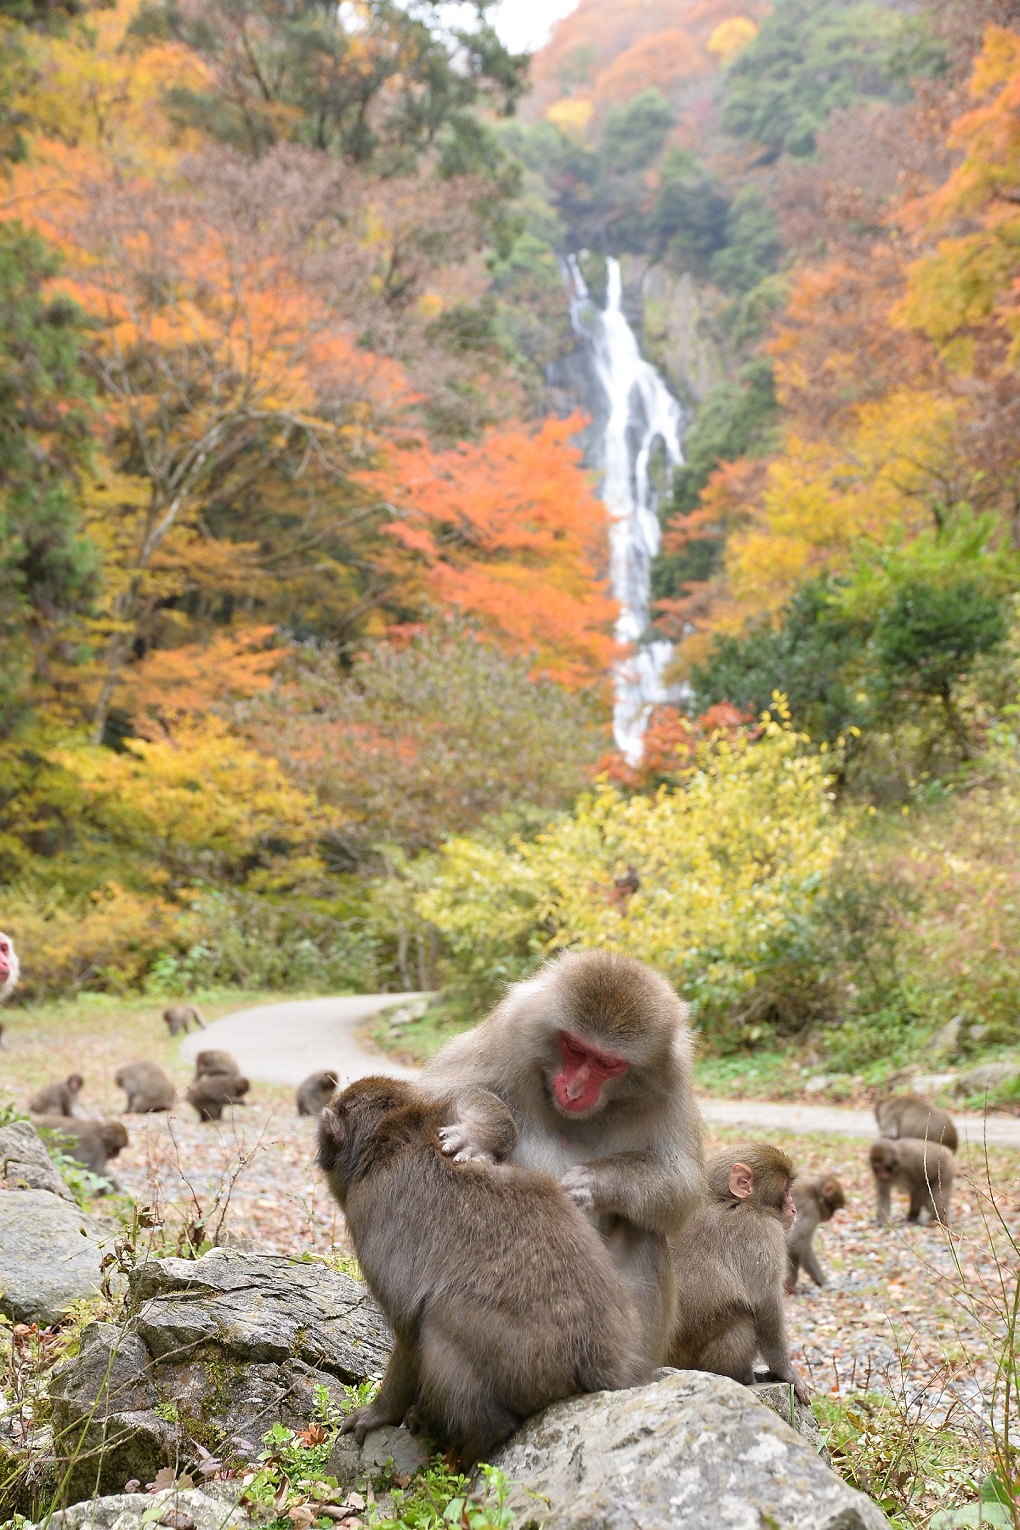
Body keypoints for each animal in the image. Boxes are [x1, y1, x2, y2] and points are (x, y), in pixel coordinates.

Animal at [316, 1071, 645, 1462]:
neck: (393, 1136)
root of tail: (602, 1363)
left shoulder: (369, 1211)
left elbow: (408, 1325)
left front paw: (378, 1413)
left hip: (526, 1361)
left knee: (439, 1315)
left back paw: (469, 1444)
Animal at [419, 948, 706, 1370]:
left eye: (607, 1063)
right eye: (575, 1048)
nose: (574, 1090)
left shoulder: (673, 1079)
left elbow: (681, 1185)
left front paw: (592, 1182)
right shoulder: (512, 1027)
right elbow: (433, 1091)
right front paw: (481, 1134)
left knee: (643, 1229)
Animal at [669, 1144, 813, 1401]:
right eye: (787, 1190)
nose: (794, 1208)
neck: (727, 1199)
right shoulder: (763, 1231)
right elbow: (765, 1303)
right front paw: (787, 1373)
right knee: (741, 1317)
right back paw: (741, 1376)